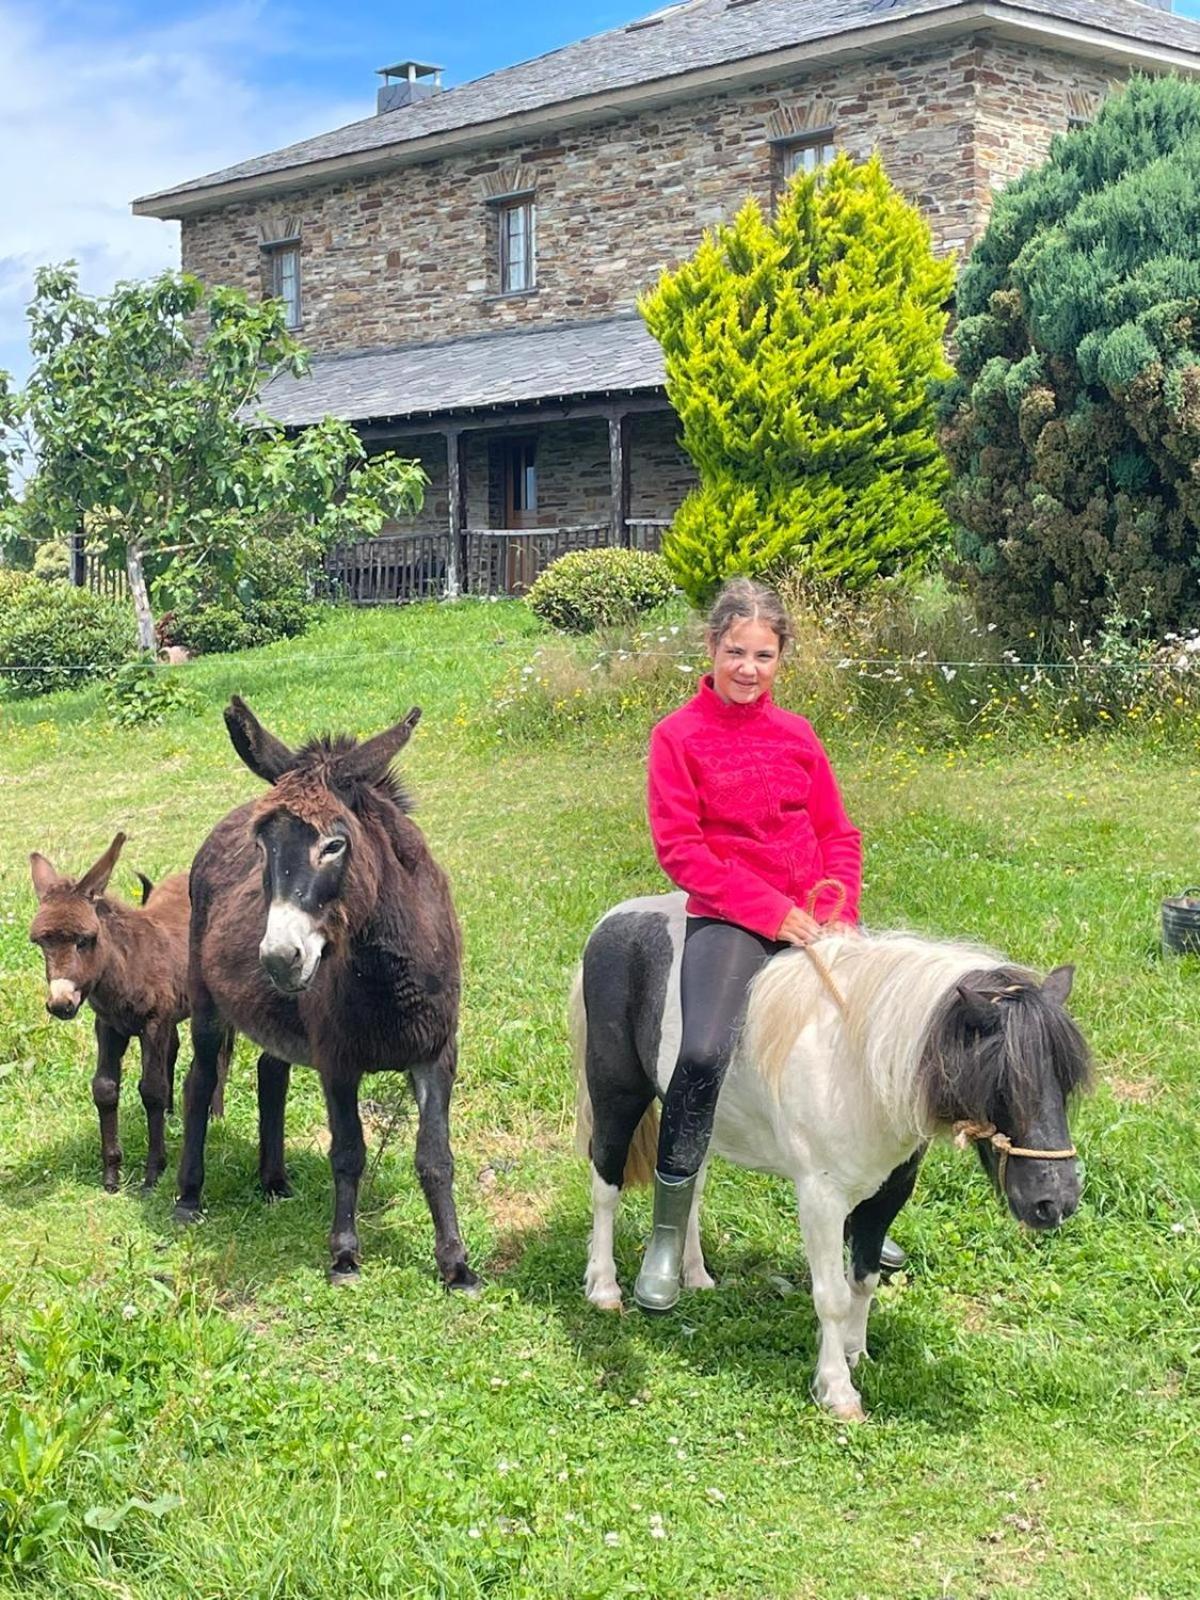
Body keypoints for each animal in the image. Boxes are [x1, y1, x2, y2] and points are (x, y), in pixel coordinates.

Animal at [30, 838, 227, 1190]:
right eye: (40, 943)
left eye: (85, 940)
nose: (60, 1004)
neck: (127, 963)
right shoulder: (110, 1026)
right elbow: (105, 1089)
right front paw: (111, 1174)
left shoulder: (153, 1024)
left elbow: (151, 1089)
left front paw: (153, 1171)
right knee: (175, 1051)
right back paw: (174, 1113)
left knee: (221, 1052)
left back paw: (214, 1113)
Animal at [176, 700, 476, 1286]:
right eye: (262, 849)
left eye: (334, 845)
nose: (277, 958)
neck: (383, 968)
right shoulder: (337, 1059)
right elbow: (348, 1151)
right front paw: (344, 1255)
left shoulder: (435, 1052)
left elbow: (435, 1155)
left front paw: (455, 1263)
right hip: (206, 1003)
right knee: (198, 1082)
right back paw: (188, 1197)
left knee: (270, 1072)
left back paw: (273, 1181)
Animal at [572, 896, 1088, 1420]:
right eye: (1002, 1083)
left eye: (1066, 1081)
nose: (1056, 1201)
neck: (858, 1067)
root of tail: (615, 919)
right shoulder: (821, 1198)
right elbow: (832, 1296)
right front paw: (838, 1390)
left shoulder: (888, 1194)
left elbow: (863, 1280)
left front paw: (856, 1353)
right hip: (618, 1092)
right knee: (606, 1184)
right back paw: (607, 1288)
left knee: (687, 1177)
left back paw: (694, 1275)